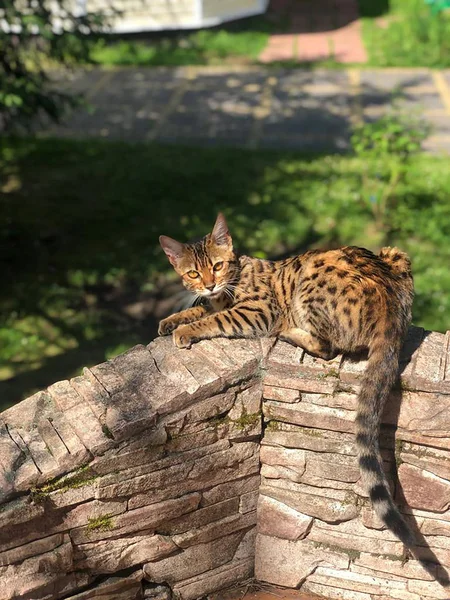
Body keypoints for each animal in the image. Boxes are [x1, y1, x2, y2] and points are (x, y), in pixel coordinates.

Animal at [158, 214, 414, 548]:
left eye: (217, 265)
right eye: (193, 273)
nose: (210, 284)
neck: (234, 278)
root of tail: (391, 301)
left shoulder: (257, 311)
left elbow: (214, 318)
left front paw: (186, 329)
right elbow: (200, 307)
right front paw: (172, 319)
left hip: (311, 278)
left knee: (328, 347)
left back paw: (290, 330)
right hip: (395, 254)